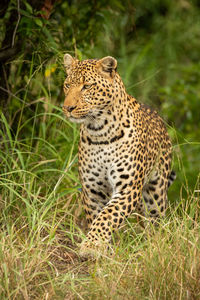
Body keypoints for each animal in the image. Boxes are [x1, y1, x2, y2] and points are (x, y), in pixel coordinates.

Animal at [62, 53, 175, 255]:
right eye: (67, 85)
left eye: (87, 86)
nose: (68, 108)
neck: (99, 131)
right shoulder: (93, 191)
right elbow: (97, 217)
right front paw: (102, 247)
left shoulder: (127, 188)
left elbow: (107, 215)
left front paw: (92, 245)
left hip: (156, 191)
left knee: (156, 219)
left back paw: (156, 243)